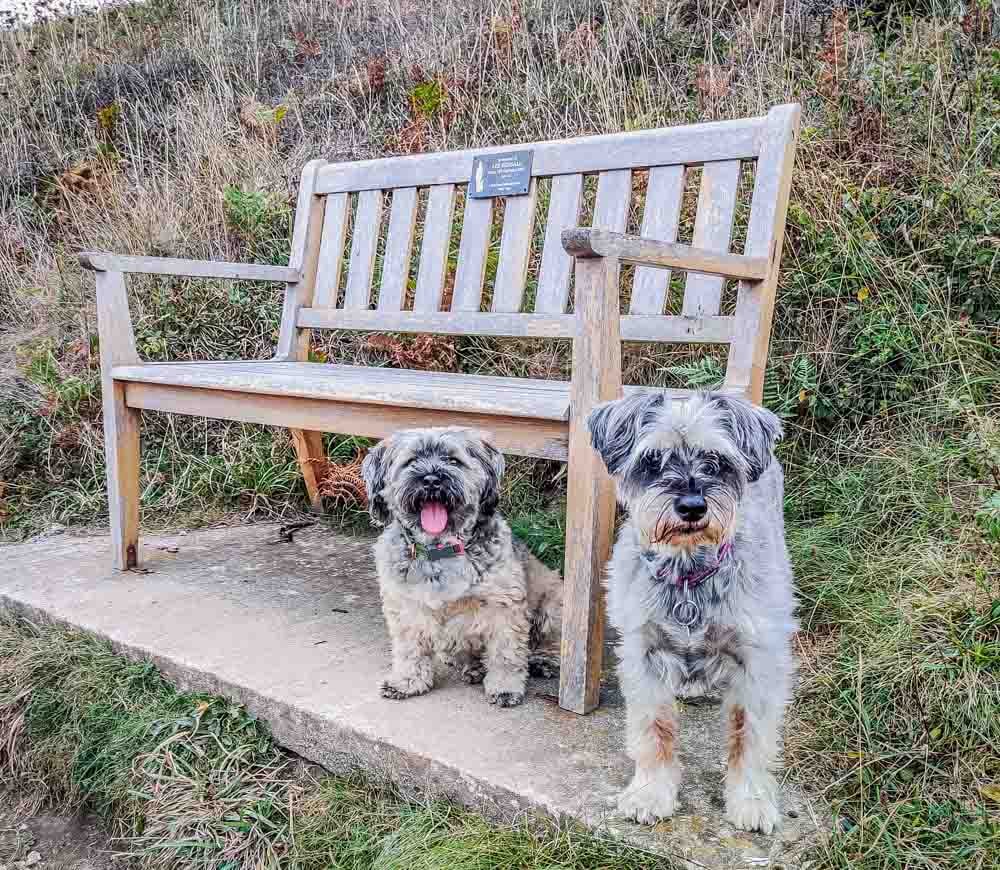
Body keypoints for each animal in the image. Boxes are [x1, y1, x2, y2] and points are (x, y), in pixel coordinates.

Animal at [360, 430, 564, 708]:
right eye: (411, 461)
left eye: (453, 460)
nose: (432, 479)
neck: (440, 549)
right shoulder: (406, 608)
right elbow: (409, 649)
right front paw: (407, 681)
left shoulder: (503, 608)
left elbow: (506, 654)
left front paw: (505, 687)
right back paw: (471, 667)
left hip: (554, 604)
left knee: (552, 642)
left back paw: (543, 660)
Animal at [584, 392, 796, 836]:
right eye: (652, 460)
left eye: (717, 460)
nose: (693, 506)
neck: (687, 572)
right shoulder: (643, 655)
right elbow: (654, 729)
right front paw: (651, 793)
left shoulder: (758, 661)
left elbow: (749, 735)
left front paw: (751, 800)